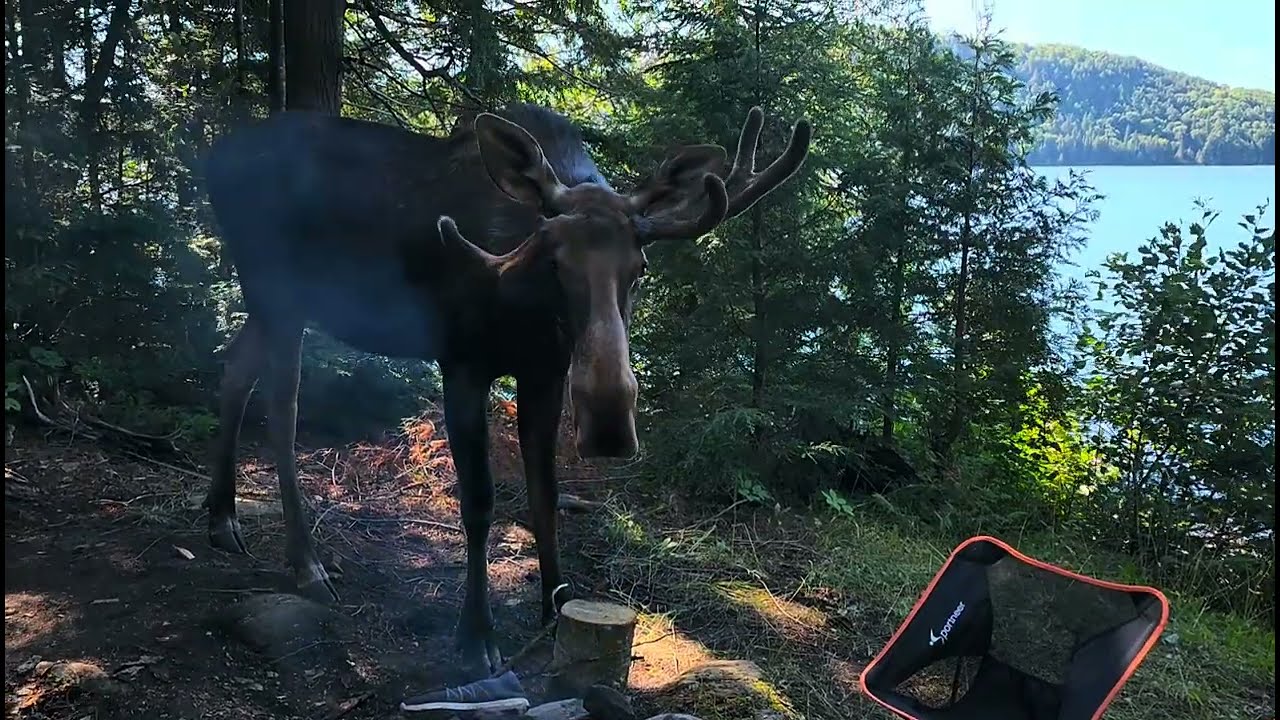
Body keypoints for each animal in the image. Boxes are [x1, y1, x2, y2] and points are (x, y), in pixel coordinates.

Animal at [201, 102, 812, 675]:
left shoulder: (545, 372)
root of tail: (210, 159)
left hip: (282, 301)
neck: (527, 310)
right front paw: (476, 636)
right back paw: (304, 561)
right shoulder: (462, 363)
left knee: (233, 368)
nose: (609, 426)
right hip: (276, 289)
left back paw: (222, 518)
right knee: (282, 408)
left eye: (639, 268)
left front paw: (555, 604)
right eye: (555, 264)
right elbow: (479, 500)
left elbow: (545, 492)